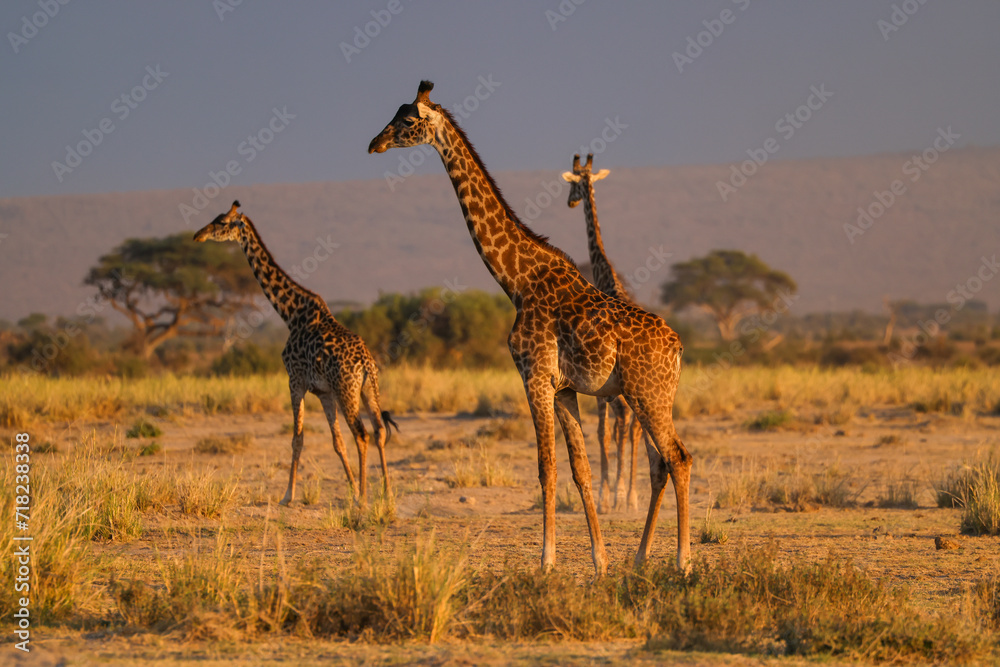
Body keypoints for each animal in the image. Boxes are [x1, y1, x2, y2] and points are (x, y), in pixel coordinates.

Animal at [193, 201, 397, 507]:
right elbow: (336, 442)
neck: (290, 313)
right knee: (379, 431)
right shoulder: (324, 392)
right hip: (368, 389)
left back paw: (363, 499)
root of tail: (365, 363)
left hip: (347, 390)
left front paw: (287, 495)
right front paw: (350, 487)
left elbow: (297, 439)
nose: (198, 235)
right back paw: (386, 493)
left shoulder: (295, 381)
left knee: (361, 435)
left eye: (221, 222)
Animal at [369, 82, 691, 575]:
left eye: (406, 122)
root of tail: (677, 347)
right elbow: (579, 469)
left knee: (679, 458)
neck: (516, 282)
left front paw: (546, 561)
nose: (374, 144)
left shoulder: (533, 376)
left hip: (646, 395)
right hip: (649, 396)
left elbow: (546, 467)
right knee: (663, 462)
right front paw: (600, 562)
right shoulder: (564, 389)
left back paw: (683, 562)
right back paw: (642, 559)